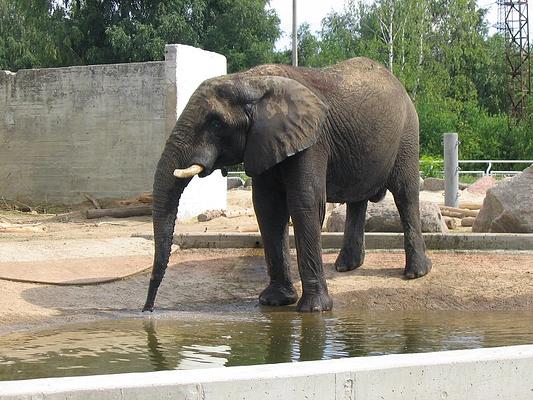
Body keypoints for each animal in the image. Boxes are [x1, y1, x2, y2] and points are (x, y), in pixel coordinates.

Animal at [142, 57, 432, 312]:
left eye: (215, 123)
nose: (148, 309)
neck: (250, 81)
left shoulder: (312, 141)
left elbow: (305, 203)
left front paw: (314, 310)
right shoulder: (263, 143)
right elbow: (268, 208)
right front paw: (274, 302)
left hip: (408, 133)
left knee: (405, 193)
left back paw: (416, 273)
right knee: (357, 200)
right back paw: (346, 267)